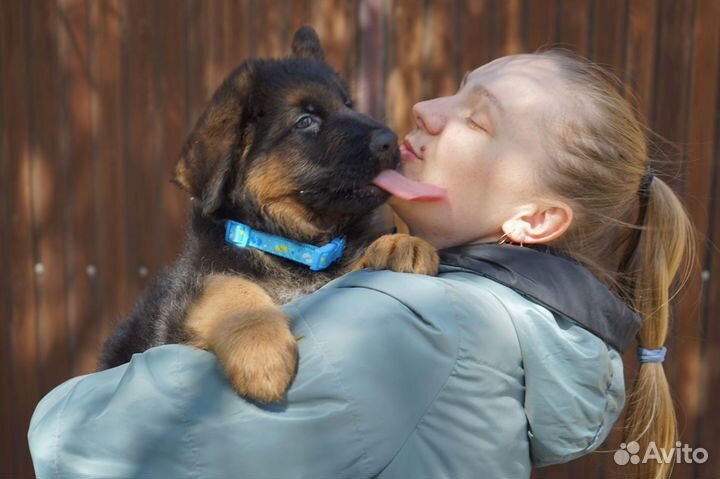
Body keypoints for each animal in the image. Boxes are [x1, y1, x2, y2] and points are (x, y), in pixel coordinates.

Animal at [97, 26, 436, 402]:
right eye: (306, 121)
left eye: (348, 104)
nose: (391, 139)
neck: (295, 248)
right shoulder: (186, 305)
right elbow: (230, 287)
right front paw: (260, 349)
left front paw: (399, 244)